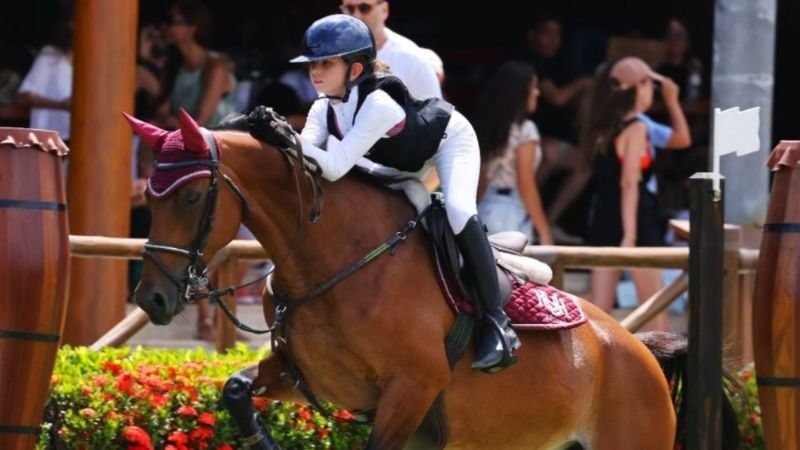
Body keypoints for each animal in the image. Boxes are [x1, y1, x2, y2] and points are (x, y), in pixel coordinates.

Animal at [133, 110, 708, 450]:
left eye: (191, 196)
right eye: (150, 198)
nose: (152, 299)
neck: (336, 260)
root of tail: (637, 351)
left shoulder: (412, 389)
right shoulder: (301, 377)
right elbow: (235, 390)